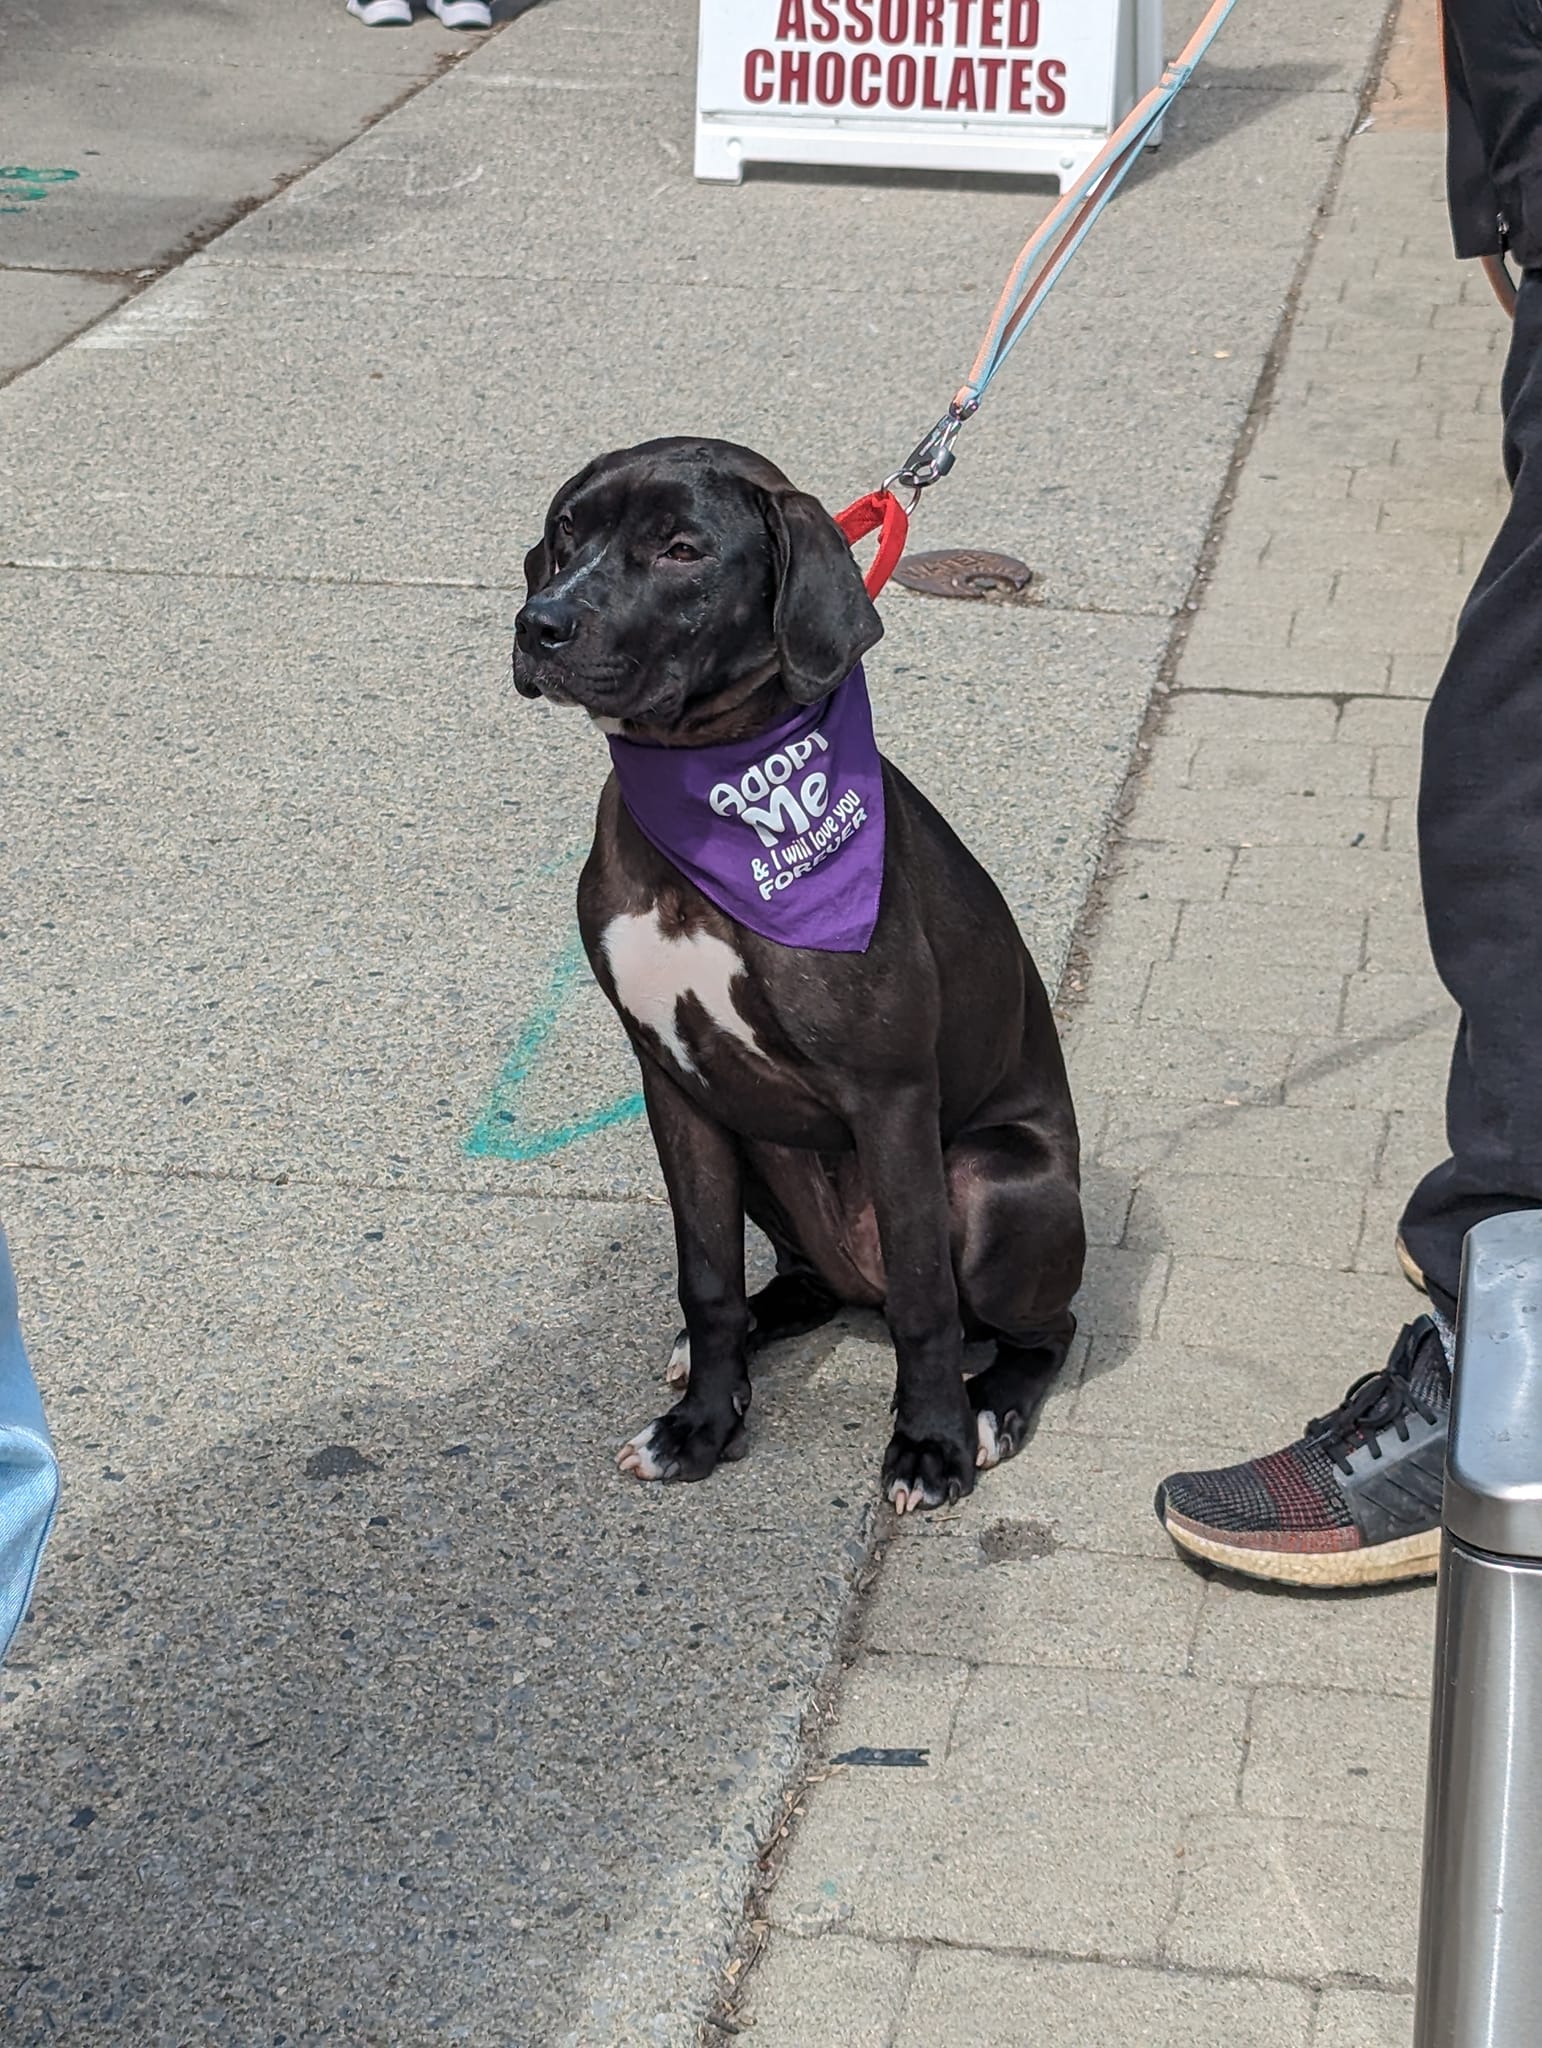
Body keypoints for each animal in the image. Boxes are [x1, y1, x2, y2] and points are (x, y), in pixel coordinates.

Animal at [511, 440, 1073, 1515]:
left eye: (683, 550)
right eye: (566, 531)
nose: (539, 623)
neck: (712, 796)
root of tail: (858, 1286)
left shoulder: (890, 1094)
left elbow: (929, 1307)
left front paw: (930, 1443)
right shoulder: (674, 1084)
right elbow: (706, 1278)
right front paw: (701, 1427)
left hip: (991, 1179)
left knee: (1034, 1326)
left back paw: (990, 1405)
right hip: (758, 1145)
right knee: (794, 1284)